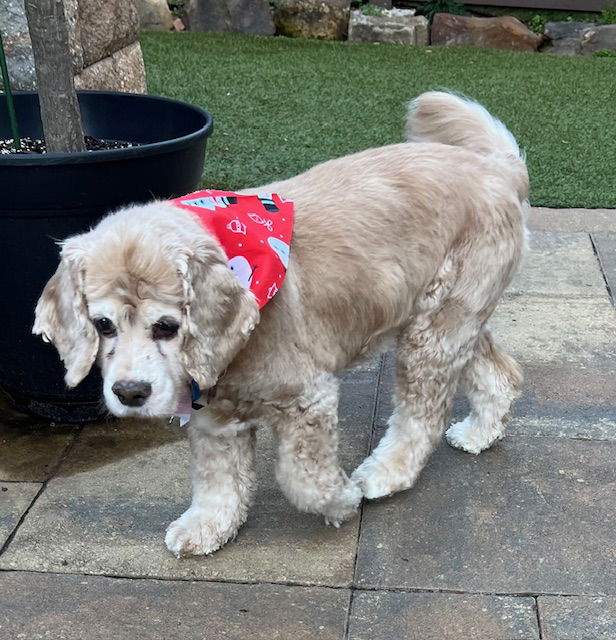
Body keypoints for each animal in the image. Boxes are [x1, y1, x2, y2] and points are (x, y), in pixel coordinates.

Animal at [33, 92, 527, 557]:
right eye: (103, 325)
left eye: (168, 326)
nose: (130, 393)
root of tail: (496, 170)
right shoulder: (213, 412)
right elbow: (218, 479)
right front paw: (207, 527)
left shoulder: (308, 396)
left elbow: (300, 478)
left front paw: (341, 499)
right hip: (448, 319)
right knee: (500, 372)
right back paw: (480, 432)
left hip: (434, 334)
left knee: (421, 415)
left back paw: (385, 474)